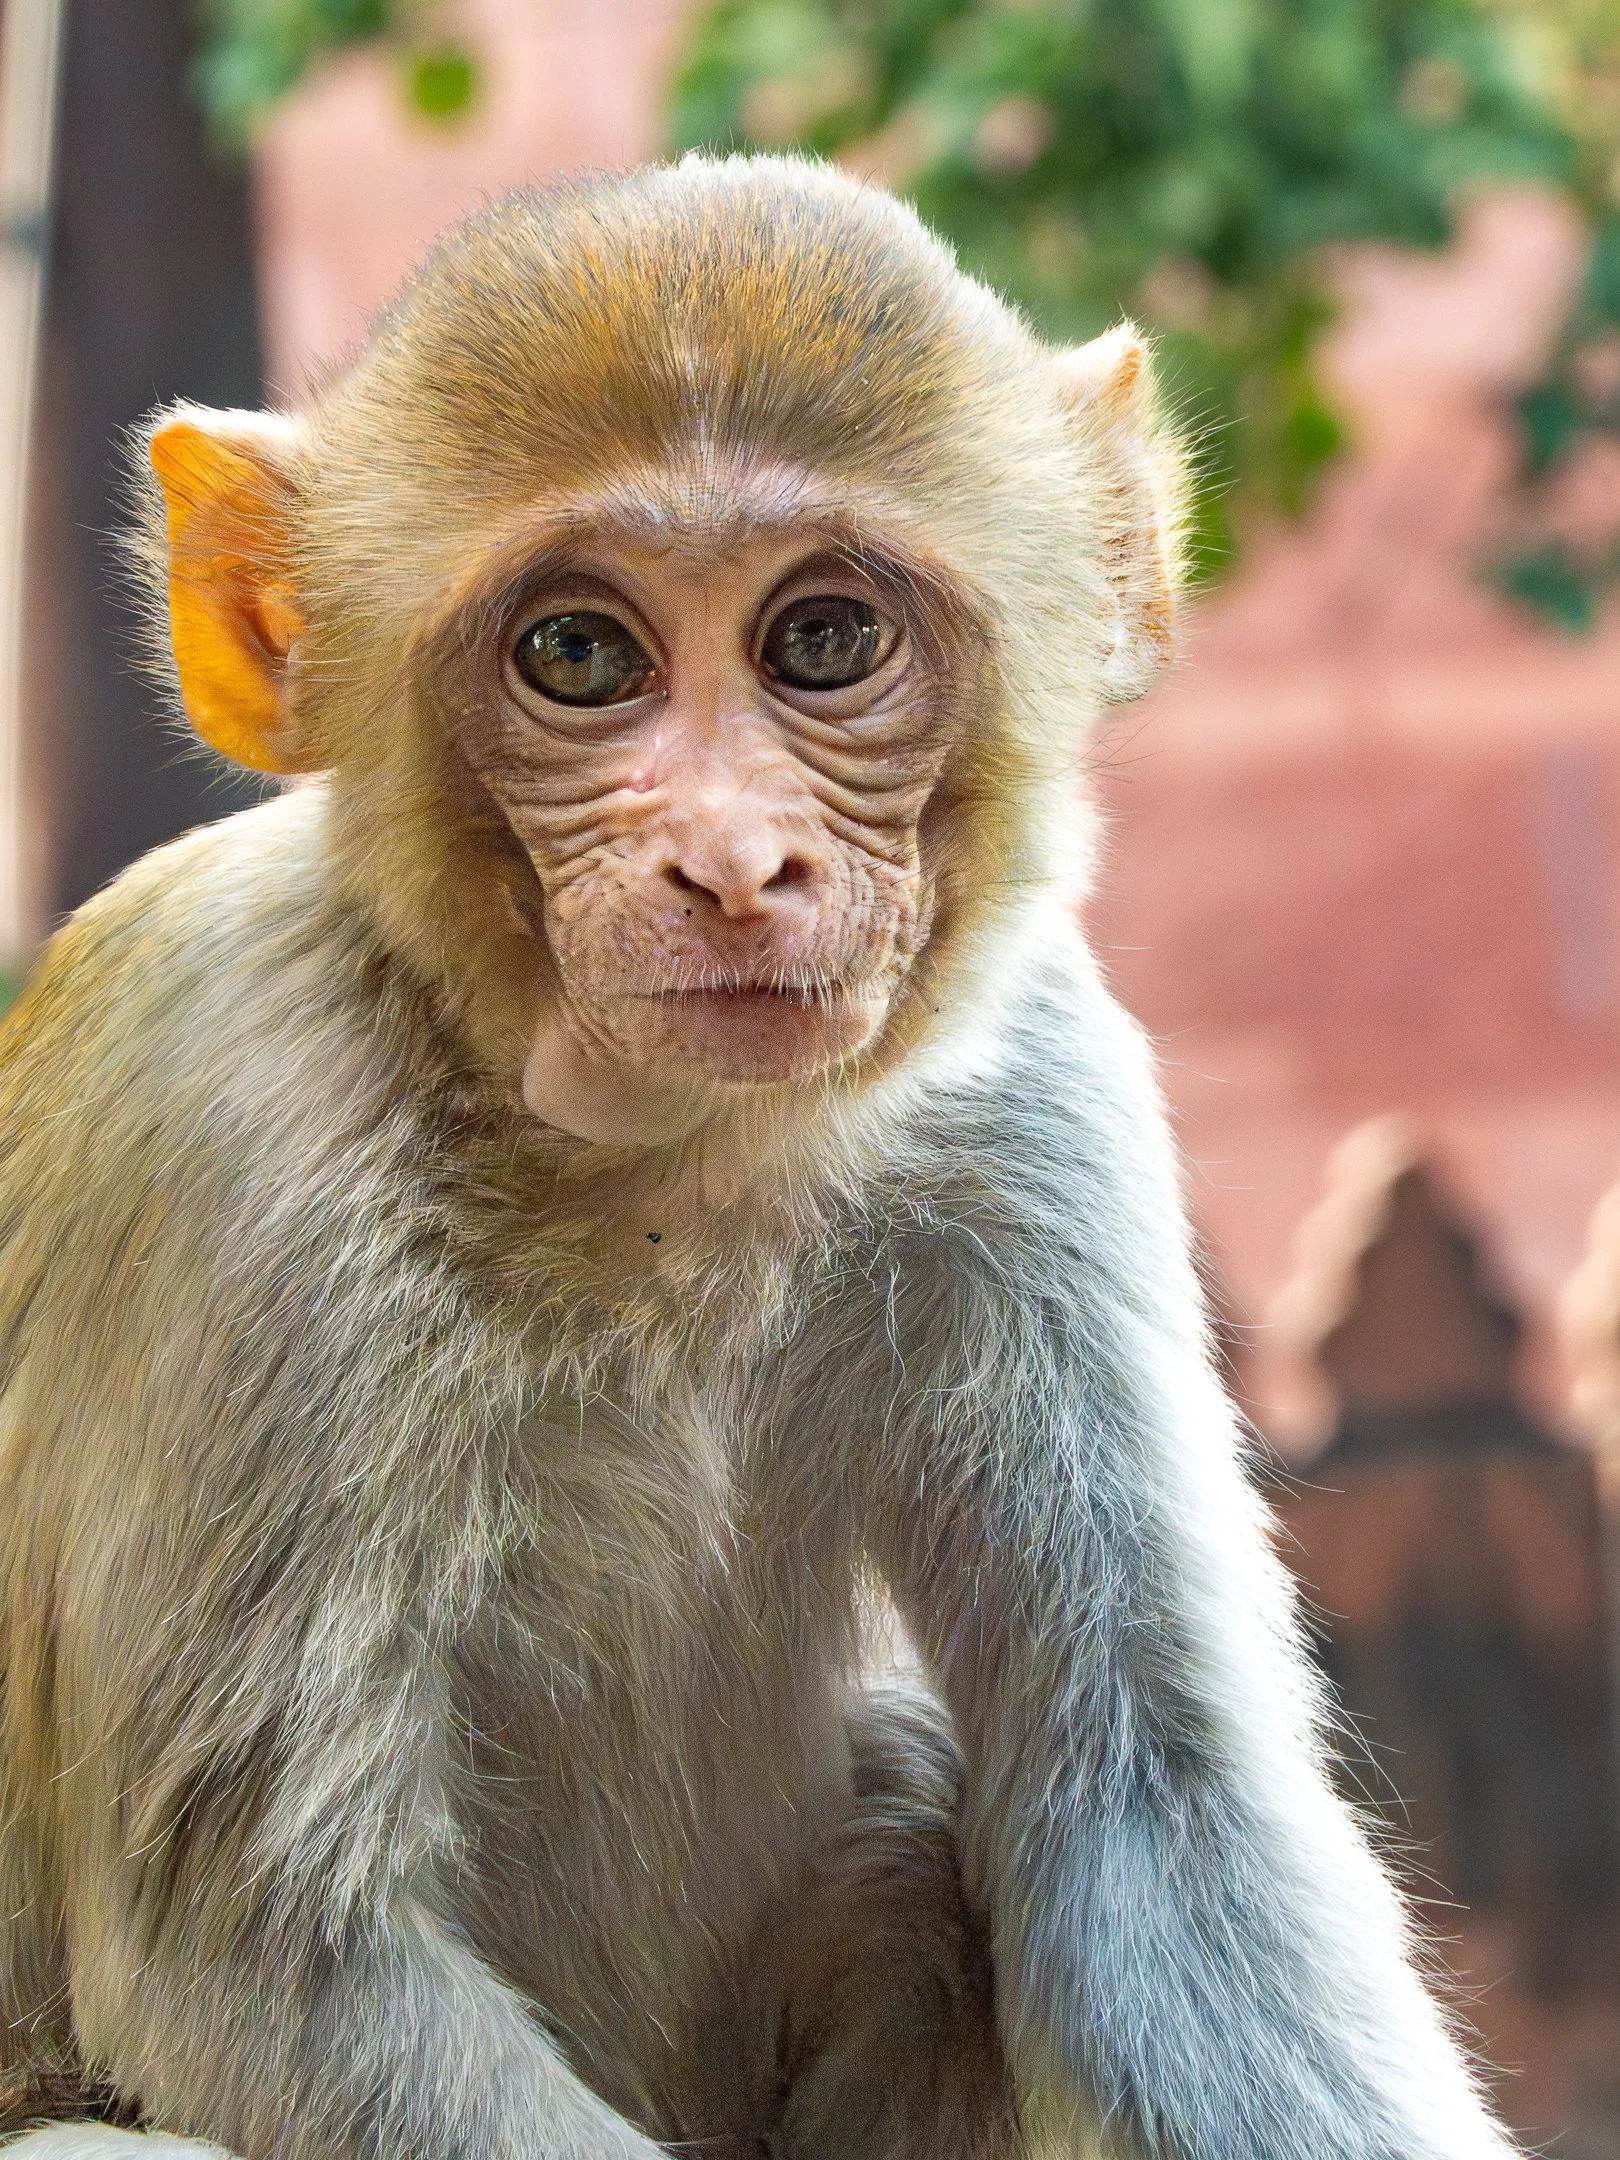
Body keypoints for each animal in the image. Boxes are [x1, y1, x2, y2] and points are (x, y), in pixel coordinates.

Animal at [0, 155, 1512, 2160]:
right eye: (577, 654)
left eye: (824, 641)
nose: (731, 860)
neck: (655, 1174)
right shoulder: (240, 1136)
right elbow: (267, 1957)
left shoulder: (1040, 1095)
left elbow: (1159, 1828)